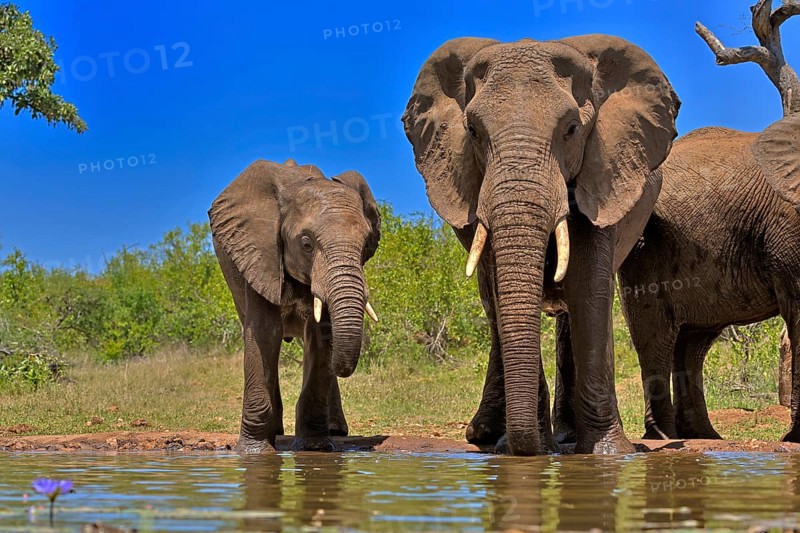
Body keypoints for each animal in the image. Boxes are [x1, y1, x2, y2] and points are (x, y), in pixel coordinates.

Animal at [209, 158, 381, 452]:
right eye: (306, 244)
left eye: (367, 243)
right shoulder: (259, 252)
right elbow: (264, 334)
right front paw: (255, 452)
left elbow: (320, 336)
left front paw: (315, 447)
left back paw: (335, 430)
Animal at [402, 35, 680, 455]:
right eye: (473, 131)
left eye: (571, 130)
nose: (528, 448)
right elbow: (503, 291)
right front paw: (520, 447)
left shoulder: (603, 170)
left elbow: (588, 288)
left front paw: (609, 453)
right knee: (493, 310)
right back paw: (488, 434)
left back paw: (566, 436)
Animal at [610, 113, 800, 442]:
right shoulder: (787, 224)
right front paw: (795, 437)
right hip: (642, 248)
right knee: (655, 337)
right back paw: (664, 436)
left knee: (692, 341)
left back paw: (702, 435)